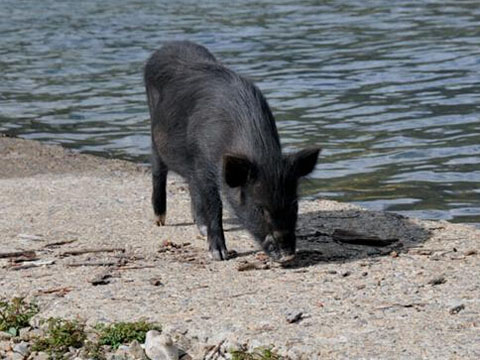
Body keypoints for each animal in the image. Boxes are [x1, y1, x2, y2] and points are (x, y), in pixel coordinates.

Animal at [144, 41, 320, 262]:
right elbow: (215, 205)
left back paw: (199, 227)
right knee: (158, 171)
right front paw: (220, 255)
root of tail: (168, 45)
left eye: (294, 204)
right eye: (259, 208)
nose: (287, 256)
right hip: (154, 134)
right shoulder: (203, 163)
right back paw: (160, 220)